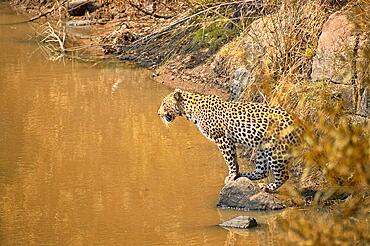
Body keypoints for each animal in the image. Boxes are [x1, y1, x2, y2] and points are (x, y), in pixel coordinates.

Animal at [157, 88, 304, 192]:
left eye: (164, 103)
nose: (158, 114)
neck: (191, 110)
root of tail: (299, 123)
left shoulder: (222, 138)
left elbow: (230, 160)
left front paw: (232, 175)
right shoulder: (229, 140)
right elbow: (234, 159)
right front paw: (235, 174)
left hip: (275, 151)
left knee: (283, 175)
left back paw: (268, 187)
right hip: (262, 147)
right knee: (262, 171)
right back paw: (244, 175)